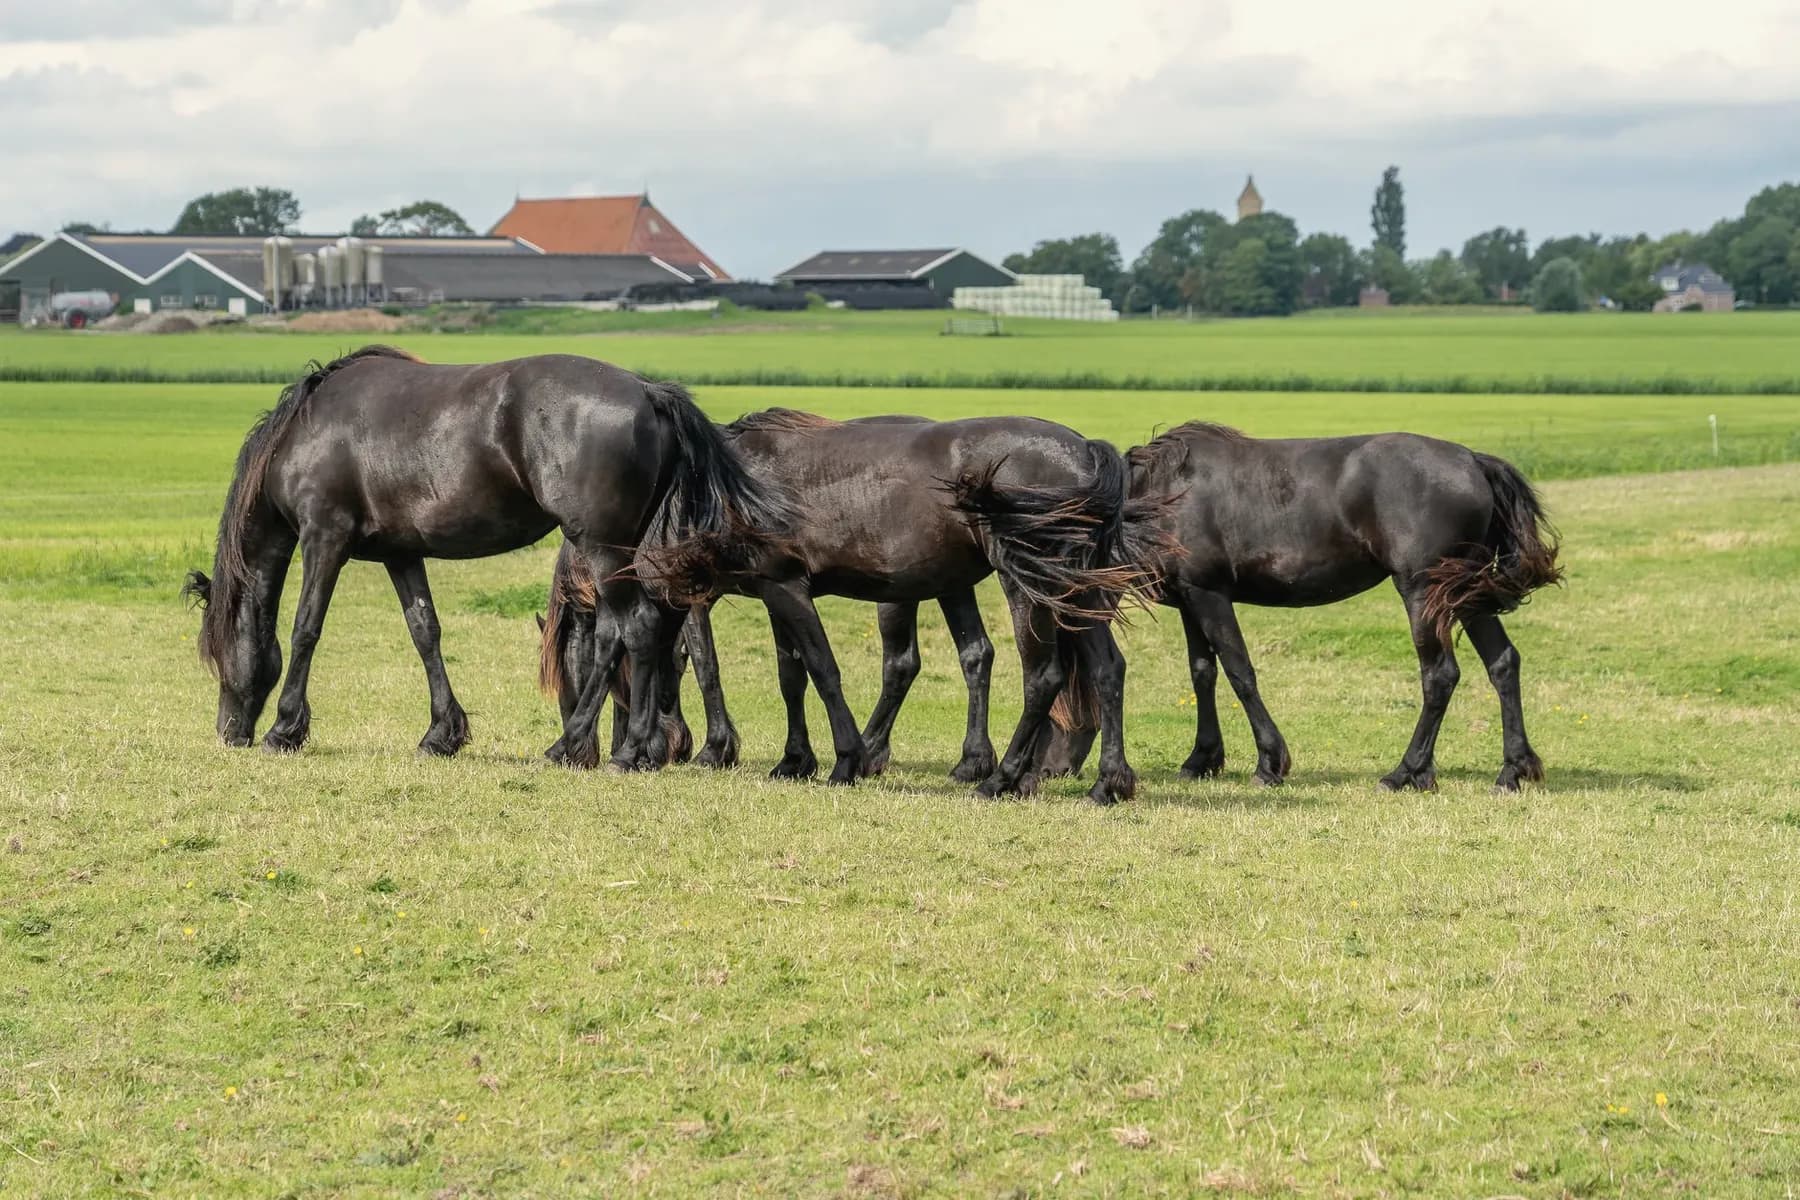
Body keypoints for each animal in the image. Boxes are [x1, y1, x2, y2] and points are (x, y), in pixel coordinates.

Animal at [181, 346, 792, 771]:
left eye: (216, 656)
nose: (228, 732)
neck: (306, 431)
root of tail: (649, 392)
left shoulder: (323, 539)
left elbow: (306, 628)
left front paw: (285, 729)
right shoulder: (401, 554)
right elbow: (425, 632)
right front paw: (441, 734)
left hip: (602, 547)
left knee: (634, 630)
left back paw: (619, 750)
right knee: (644, 635)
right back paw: (595, 746)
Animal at [544, 409, 1172, 803]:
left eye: (583, 669)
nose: (581, 749)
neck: (717, 490)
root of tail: (1086, 452)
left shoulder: (784, 587)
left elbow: (821, 671)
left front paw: (845, 761)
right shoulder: (771, 593)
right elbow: (790, 674)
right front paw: (793, 761)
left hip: (1030, 585)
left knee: (1043, 675)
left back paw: (1002, 779)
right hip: (1075, 590)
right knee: (1106, 669)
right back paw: (1107, 784)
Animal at [1045, 424, 1563, 792]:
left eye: (1062, 700)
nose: (1051, 768)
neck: (1161, 497)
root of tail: (1473, 461)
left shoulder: (1210, 595)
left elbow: (1239, 672)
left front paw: (1270, 762)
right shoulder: (1189, 599)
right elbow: (1202, 673)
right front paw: (1202, 759)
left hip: (1423, 592)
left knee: (1440, 675)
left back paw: (1407, 772)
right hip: (1465, 594)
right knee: (1502, 664)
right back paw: (1512, 770)